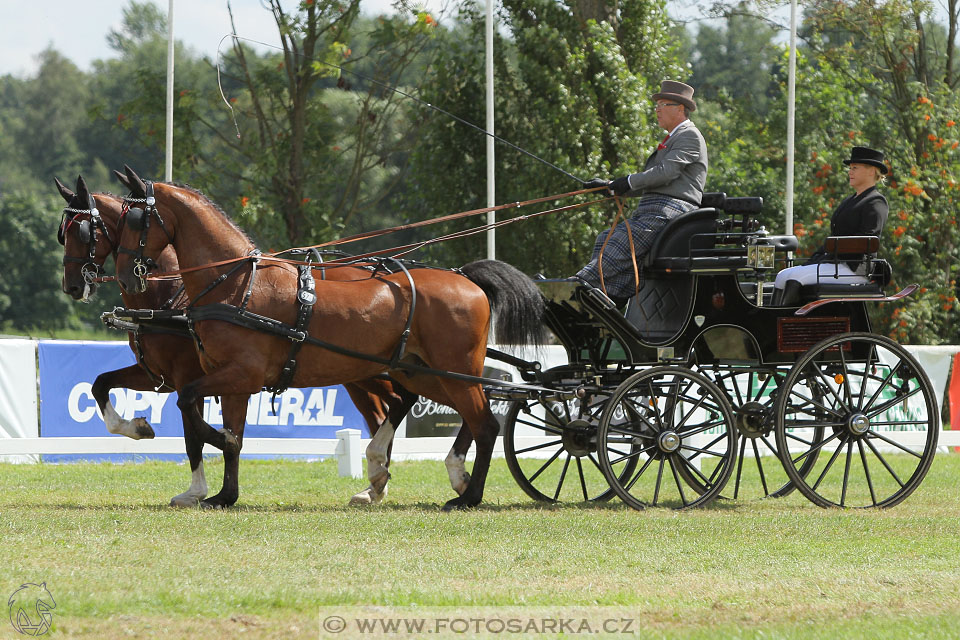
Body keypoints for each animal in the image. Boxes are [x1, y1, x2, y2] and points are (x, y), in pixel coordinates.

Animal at [56, 172, 420, 508]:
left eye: (84, 231)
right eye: (64, 234)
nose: (72, 286)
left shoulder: (196, 377)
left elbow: (194, 435)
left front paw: (197, 489)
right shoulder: (159, 375)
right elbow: (100, 384)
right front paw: (136, 428)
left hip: (372, 371)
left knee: (400, 400)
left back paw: (376, 477)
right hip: (359, 373)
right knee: (387, 407)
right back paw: (374, 484)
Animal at [111, 166, 544, 510]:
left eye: (134, 219)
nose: (127, 278)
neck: (236, 283)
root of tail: (467, 278)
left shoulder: (240, 374)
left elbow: (192, 408)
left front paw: (207, 443)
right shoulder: (232, 380)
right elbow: (232, 434)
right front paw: (224, 494)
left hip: (451, 371)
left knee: (485, 424)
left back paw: (468, 496)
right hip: (424, 373)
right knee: (466, 414)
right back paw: (449, 477)